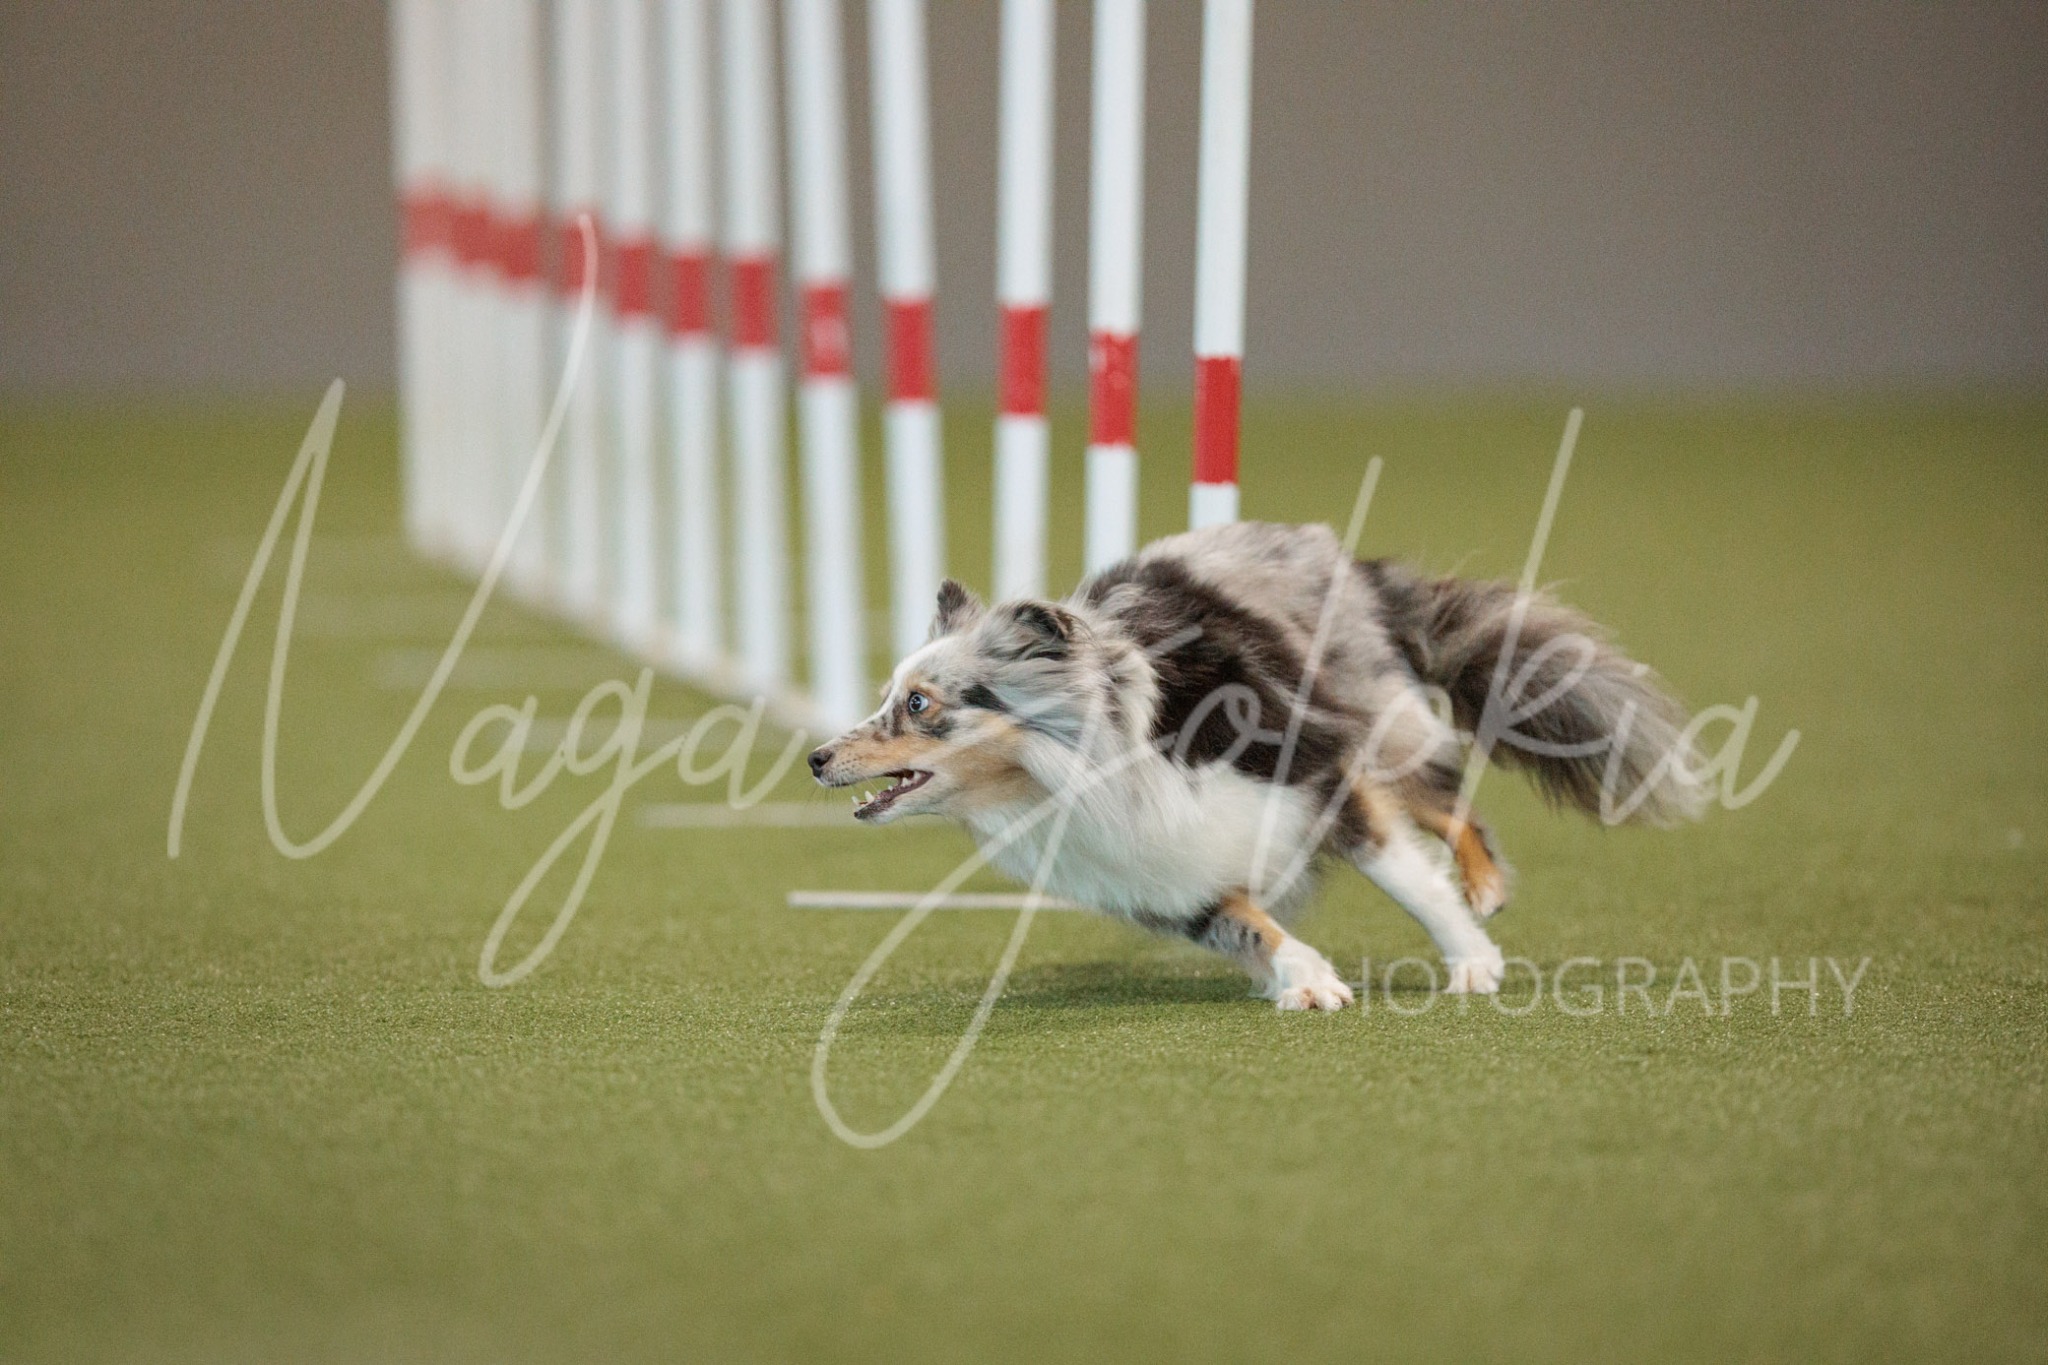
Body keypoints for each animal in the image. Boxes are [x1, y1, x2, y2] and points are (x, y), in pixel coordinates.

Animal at [809, 521, 1703, 1011]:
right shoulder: (1161, 874)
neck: (1081, 767)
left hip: (1373, 716)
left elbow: (1404, 875)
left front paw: (1470, 959)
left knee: (1446, 798)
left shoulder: (1318, 771)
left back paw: (1482, 886)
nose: (815, 757)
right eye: (887, 693)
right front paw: (1306, 981)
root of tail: (1342, 555)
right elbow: (1246, 922)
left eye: (919, 703)